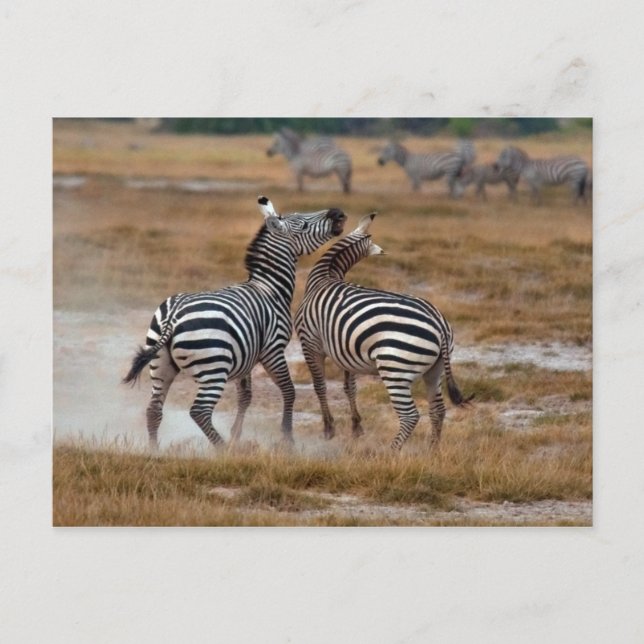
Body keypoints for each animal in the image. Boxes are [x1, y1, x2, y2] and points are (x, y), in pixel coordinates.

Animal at [123, 196, 346, 449]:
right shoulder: (273, 349)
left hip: (160, 364)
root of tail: (174, 315)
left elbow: (245, 397)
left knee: (153, 409)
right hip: (213, 368)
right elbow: (289, 391)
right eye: (304, 225)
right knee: (199, 411)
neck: (270, 287)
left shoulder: (246, 356)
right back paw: (222, 450)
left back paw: (155, 450)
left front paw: (236, 435)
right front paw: (287, 438)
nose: (338, 213)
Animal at [295, 214, 472, 451]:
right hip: (435, 370)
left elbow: (319, 386)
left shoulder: (310, 344)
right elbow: (349, 387)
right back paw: (432, 450)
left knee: (410, 416)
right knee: (438, 410)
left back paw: (390, 452)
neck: (325, 276)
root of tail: (439, 323)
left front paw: (329, 428)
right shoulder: (344, 351)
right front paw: (356, 427)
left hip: (395, 369)